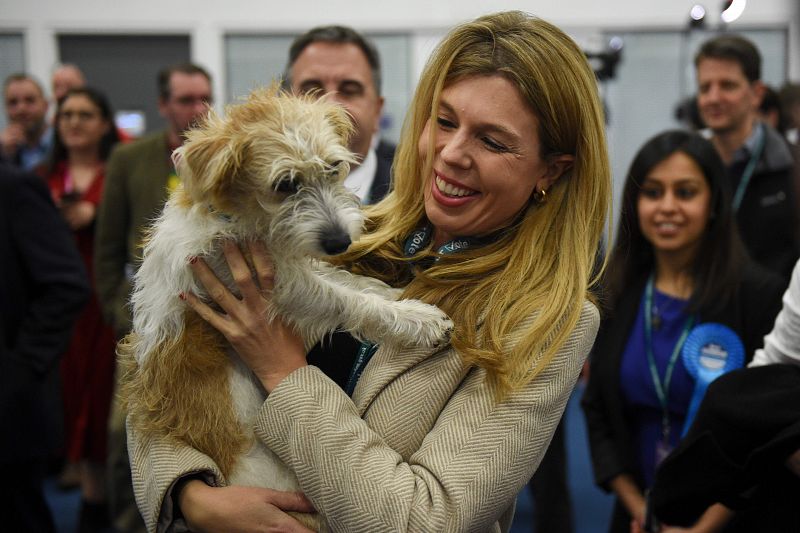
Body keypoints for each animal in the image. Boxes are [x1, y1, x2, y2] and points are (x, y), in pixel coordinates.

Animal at [122, 85, 454, 528]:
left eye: (333, 167)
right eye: (285, 184)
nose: (340, 242)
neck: (240, 218)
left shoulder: (290, 266)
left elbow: (348, 281)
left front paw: (398, 292)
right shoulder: (279, 287)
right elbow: (345, 298)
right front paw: (416, 318)